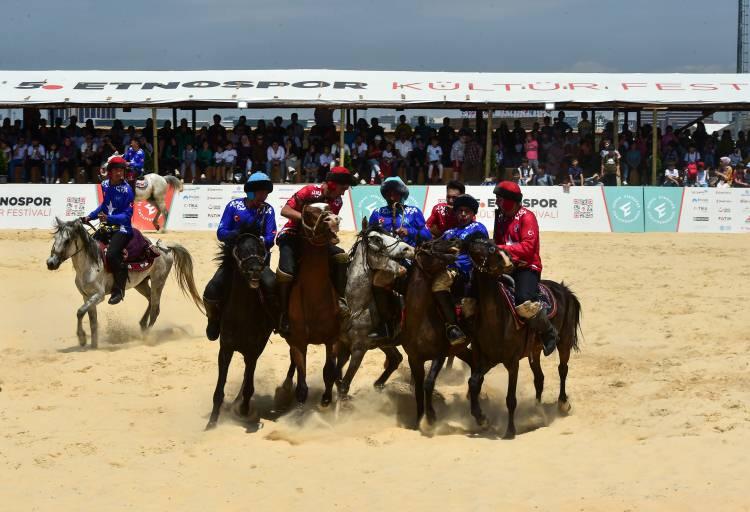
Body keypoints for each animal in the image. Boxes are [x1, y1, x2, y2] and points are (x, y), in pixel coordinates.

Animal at [47, 218, 206, 350]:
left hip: (158, 281)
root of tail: (164, 247)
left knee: (155, 308)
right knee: (150, 300)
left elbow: (80, 312)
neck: (91, 263)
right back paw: (142, 325)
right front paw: (93, 345)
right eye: (55, 238)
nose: (51, 263)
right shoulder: (86, 296)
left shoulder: (99, 296)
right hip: (141, 284)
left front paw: (81, 339)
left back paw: (147, 337)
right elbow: (92, 321)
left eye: (67, 240)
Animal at [284, 202, 342, 406]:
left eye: (329, 207)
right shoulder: (299, 342)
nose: (333, 219)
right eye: (308, 212)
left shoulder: (333, 340)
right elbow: (302, 385)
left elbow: (329, 372)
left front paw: (326, 398)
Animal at [336, 218, 418, 398]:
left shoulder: (358, 350)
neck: (356, 308)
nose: (408, 249)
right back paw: (379, 384)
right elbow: (335, 377)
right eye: (376, 239)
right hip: (386, 344)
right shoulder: (342, 346)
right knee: (396, 359)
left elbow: (344, 385)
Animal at [402, 237, 472, 428]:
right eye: (427, 245)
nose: (455, 239)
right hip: (460, 348)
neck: (420, 320)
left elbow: (428, 383)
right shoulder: (414, 359)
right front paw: (418, 420)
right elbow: (418, 389)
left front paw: (431, 417)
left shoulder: (439, 355)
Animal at [462, 236, 584, 440]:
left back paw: (562, 404)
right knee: (539, 378)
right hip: (534, 351)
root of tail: (564, 289)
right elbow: (474, 383)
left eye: (491, 246)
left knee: (562, 369)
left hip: (565, 342)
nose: (470, 241)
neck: (495, 319)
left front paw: (510, 431)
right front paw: (481, 419)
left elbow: (511, 399)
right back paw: (536, 410)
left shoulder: (512, 363)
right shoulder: (484, 359)